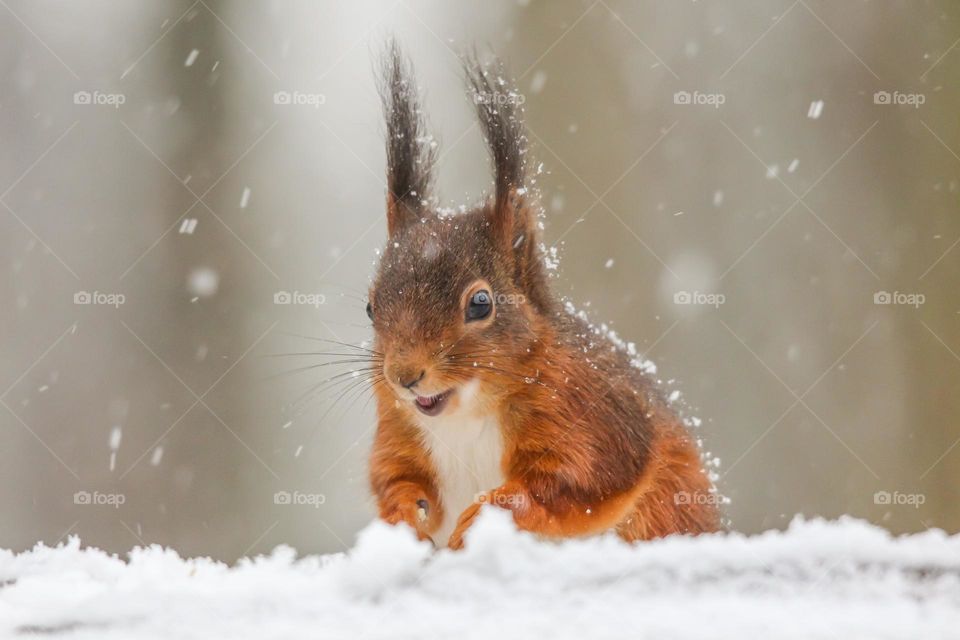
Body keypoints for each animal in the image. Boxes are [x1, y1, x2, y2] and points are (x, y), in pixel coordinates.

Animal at [368, 42, 720, 548]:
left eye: (480, 303)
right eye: (370, 306)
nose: (404, 376)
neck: (466, 412)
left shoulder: (593, 415)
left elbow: (576, 480)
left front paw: (486, 512)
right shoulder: (398, 431)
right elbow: (393, 477)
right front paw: (402, 513)